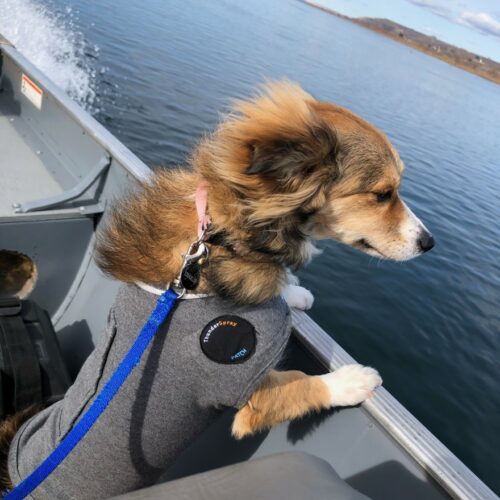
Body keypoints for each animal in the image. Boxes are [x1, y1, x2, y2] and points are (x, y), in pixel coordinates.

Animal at [96, 80, 434, 440]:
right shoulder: (249, 384)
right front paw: (352, 381)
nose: (429, 242)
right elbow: (302, 382)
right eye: (382, 194)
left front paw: (294, 292)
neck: (225, 238)